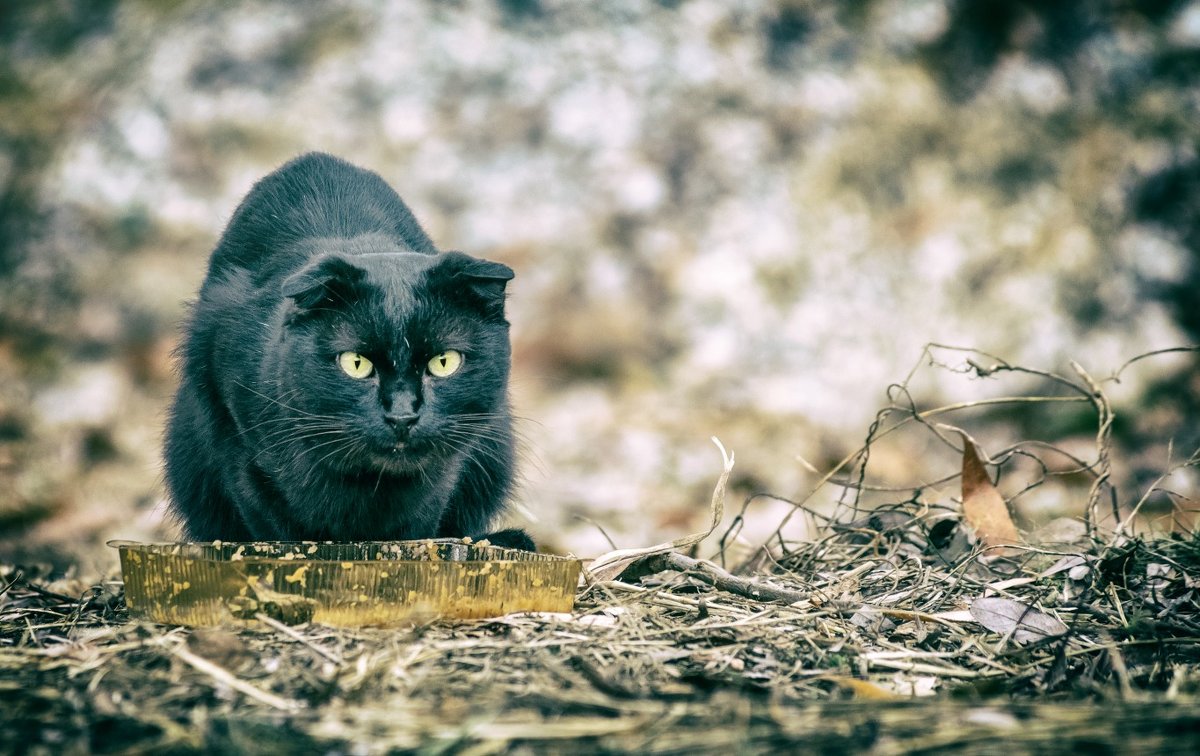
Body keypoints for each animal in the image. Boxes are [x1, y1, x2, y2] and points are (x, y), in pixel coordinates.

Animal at [163, 152, 530, 552]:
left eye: (444, 362)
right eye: (356, 363)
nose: (402, 415)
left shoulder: (446, 468)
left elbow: (421, 516)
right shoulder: (236, 438)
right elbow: (272, 521)